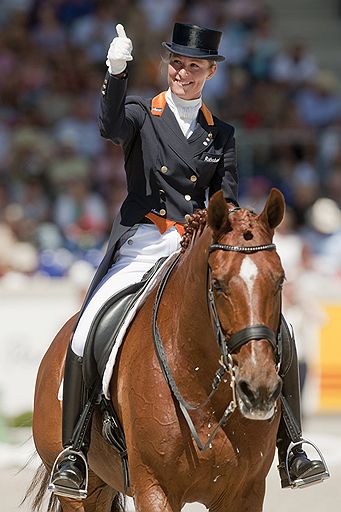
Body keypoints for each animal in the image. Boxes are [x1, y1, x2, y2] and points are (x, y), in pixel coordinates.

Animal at [28, 188, 284, 512]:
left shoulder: (245, 493)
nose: (259, 388)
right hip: (80, 492)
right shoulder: (154, 488)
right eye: (217, 284)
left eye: (280, 280)